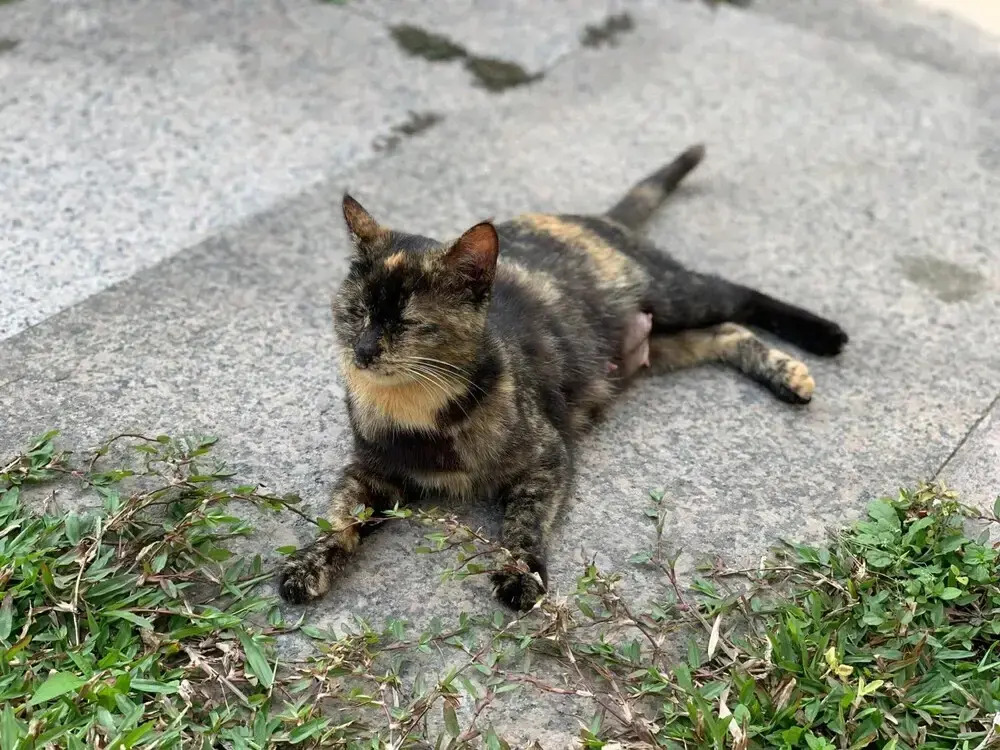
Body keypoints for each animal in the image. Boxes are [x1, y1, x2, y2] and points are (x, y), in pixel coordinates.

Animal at [278, 144, 848, 611]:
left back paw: (819, 341)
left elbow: (525, 518)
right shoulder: (368, 471)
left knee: (739, 298)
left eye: (409, 323)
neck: (418, 409)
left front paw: (520, 571)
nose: (364, 350)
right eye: (356, 311)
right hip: (657, 345)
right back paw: (786, 375)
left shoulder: (547, 457)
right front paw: (310, 561)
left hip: (675, 294)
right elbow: (339, 516)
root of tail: (593, 218)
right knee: (725, 332)